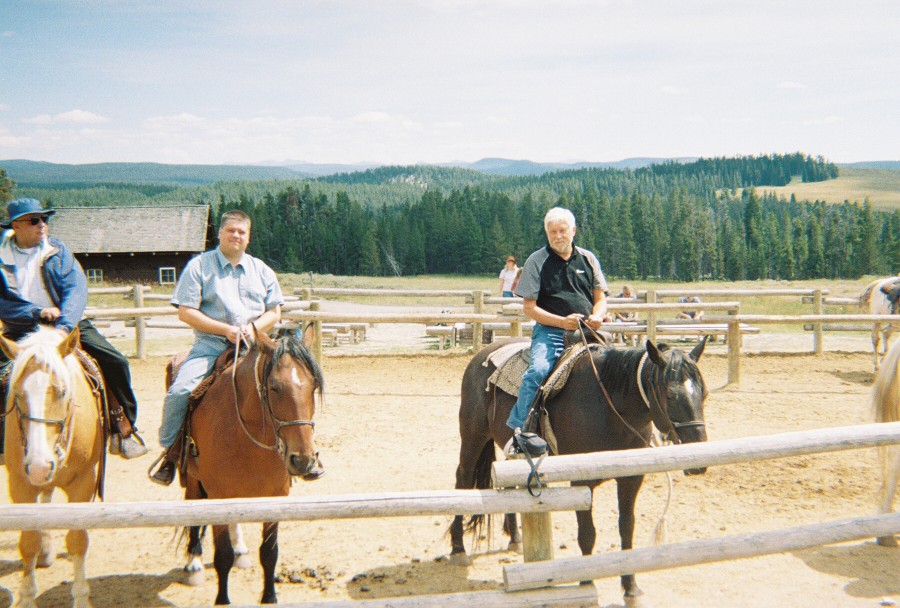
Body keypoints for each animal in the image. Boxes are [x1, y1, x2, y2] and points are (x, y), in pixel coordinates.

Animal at [0, 328, 103, 608]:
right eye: (17, 395)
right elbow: (28, 542)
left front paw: (81, 598)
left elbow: (77, 541)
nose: (39, 465)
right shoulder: (20, 484)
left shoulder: (84, 482)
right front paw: (26, 597)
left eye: (62, 391)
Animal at [177, 326, 324, 604]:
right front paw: (222, 600)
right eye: (274, 387)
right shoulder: (217, 496)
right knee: (192, 506)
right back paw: (193, 564)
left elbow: (269, 552)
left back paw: (240, 551)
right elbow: (222, 556)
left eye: (313, 386)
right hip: (193, 478)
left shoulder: (276, 496)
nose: (303, 460)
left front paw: (269, 597)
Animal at [450, 338, 712, 604]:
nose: (699, 458)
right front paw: (586, 582)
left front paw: (630, 586)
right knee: (462, 479)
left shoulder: (631, 478)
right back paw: (458, 548)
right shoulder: (581, 480)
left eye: (705, 393)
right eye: (670, 395)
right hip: (473, 436)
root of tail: (482, 355)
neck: (610, 405)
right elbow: (587, 534)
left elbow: (627, 528)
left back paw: (515, 537)